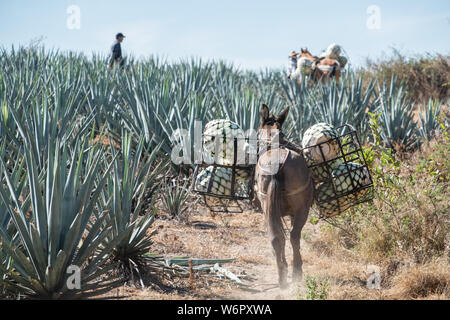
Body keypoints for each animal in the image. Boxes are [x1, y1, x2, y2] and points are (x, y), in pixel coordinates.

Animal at [253, 104, 312, 288]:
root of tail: (278, 164)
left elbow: (280, 237)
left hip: (268, 208)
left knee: (276, 238)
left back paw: (282, 276)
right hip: (301, 210)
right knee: (293, 236)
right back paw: (296, 272)